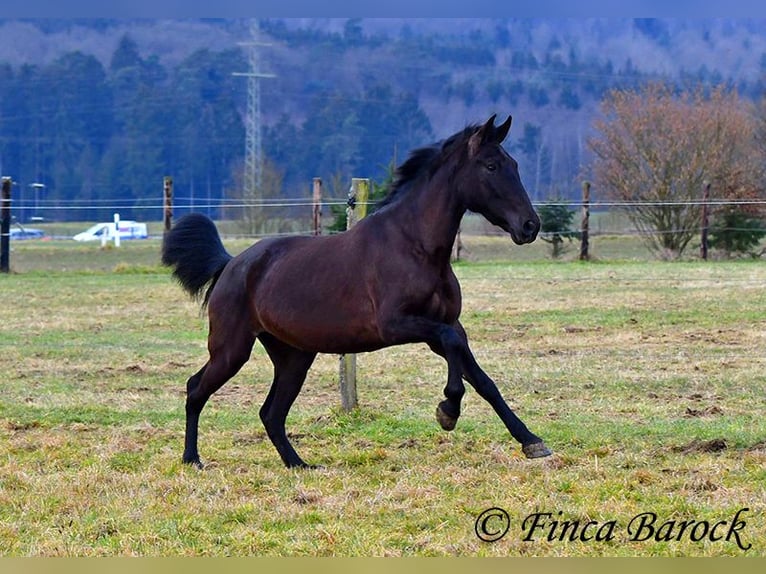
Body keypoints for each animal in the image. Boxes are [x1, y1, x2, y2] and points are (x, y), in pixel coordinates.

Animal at [165, 115, 556, 470]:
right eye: (491, 166)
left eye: (514, 164)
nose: (530, 226)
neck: (415, 247)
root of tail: (231, 264)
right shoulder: (397, 325)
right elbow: (455, 355)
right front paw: (447, 411)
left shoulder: (447, 324)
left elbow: (481, 378)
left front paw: (532, 442)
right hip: (232, 349)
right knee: (196, 388)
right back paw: (192, 459)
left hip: (293, 357)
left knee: (271, 412)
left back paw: (299, 464)